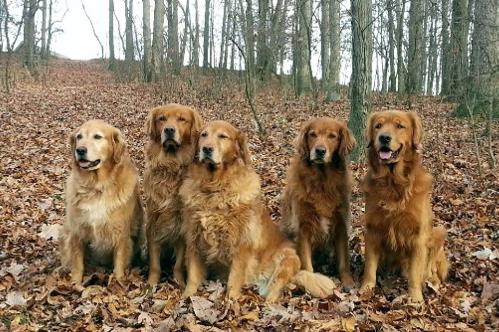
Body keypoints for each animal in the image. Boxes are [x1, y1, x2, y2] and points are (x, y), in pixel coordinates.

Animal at [60, 120, 145, 284]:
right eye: (79, 136)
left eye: (97, 137)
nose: (80, 150)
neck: (97, 186)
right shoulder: (77, 232)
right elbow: (77, 264)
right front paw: (75, 284)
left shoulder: (121, 235)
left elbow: (119, 265)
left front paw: (118, 283)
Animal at [143, 103, 203, 286]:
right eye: (161, 119)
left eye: (182, 119)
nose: (169, 130)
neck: (170, 166)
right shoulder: (153, 221)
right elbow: (155, 263)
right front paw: (151, 285)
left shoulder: (182, 224)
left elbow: (178, 263)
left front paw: (179, 282)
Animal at [178, 120, 338, 302]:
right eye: (204, 135)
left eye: (223, 136)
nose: (206, 149)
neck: (214, 188)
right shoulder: (194, 238)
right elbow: (193, 276)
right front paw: (186, 298)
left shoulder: (241, 245)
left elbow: (234, 279)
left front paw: (231, 301)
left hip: (288, 259)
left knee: (277, 286)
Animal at [282, 118, 360, 290]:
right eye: (313, 134)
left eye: (332, 136)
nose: (320, 151)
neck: (322, 181)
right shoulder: (303, 226)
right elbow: (306, 263)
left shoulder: (340, 224)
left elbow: (344, 260)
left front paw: (348, 282)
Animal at [360, 110, 450, 302]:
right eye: (378, 126)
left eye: (400, 126)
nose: (384, 137)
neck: (393, 183)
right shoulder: (372, 230)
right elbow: (370, 266)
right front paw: (366, 288)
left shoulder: (418, 237)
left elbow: (415, 273)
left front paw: (415, 299)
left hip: (439, 231)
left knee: (431, 270)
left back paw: (431, 280)